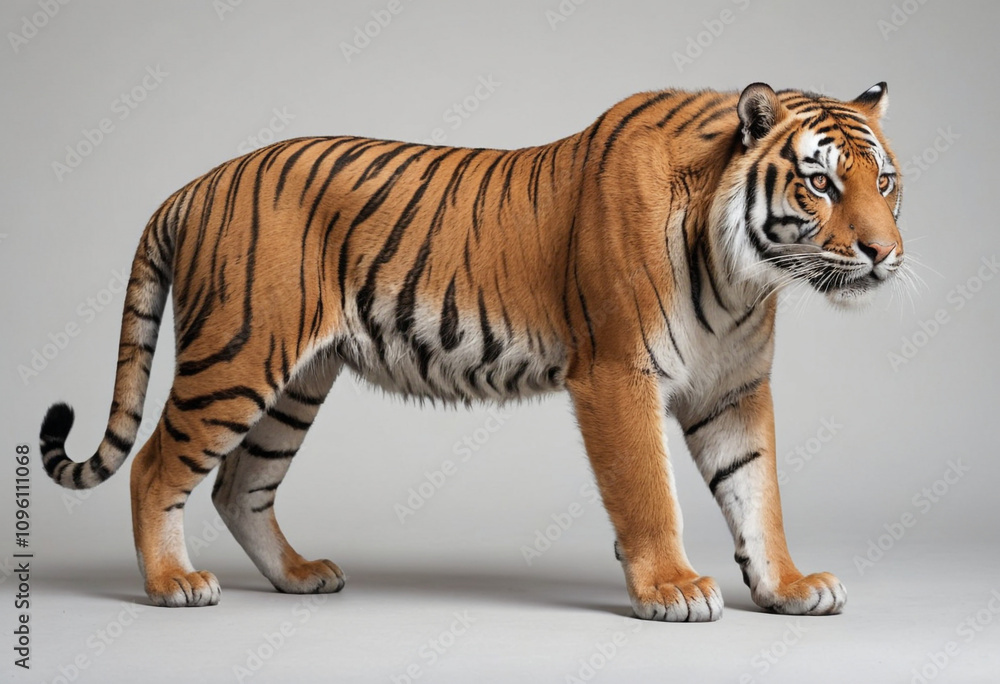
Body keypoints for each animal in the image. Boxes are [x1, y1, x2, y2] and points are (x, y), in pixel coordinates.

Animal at [39, 82, 903, 621]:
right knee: (157, 466)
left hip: (298, 381)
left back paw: (300, 576)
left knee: (240, 485)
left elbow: (757, 493)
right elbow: (648, 492)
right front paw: (671, 588)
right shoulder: (616, 375)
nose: (885, 253)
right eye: (821, 184)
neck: (743, 276)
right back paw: (172, 583)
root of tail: (193, 186)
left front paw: (787, 587)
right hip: (238, 356)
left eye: (886, 183)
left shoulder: (733, 390)